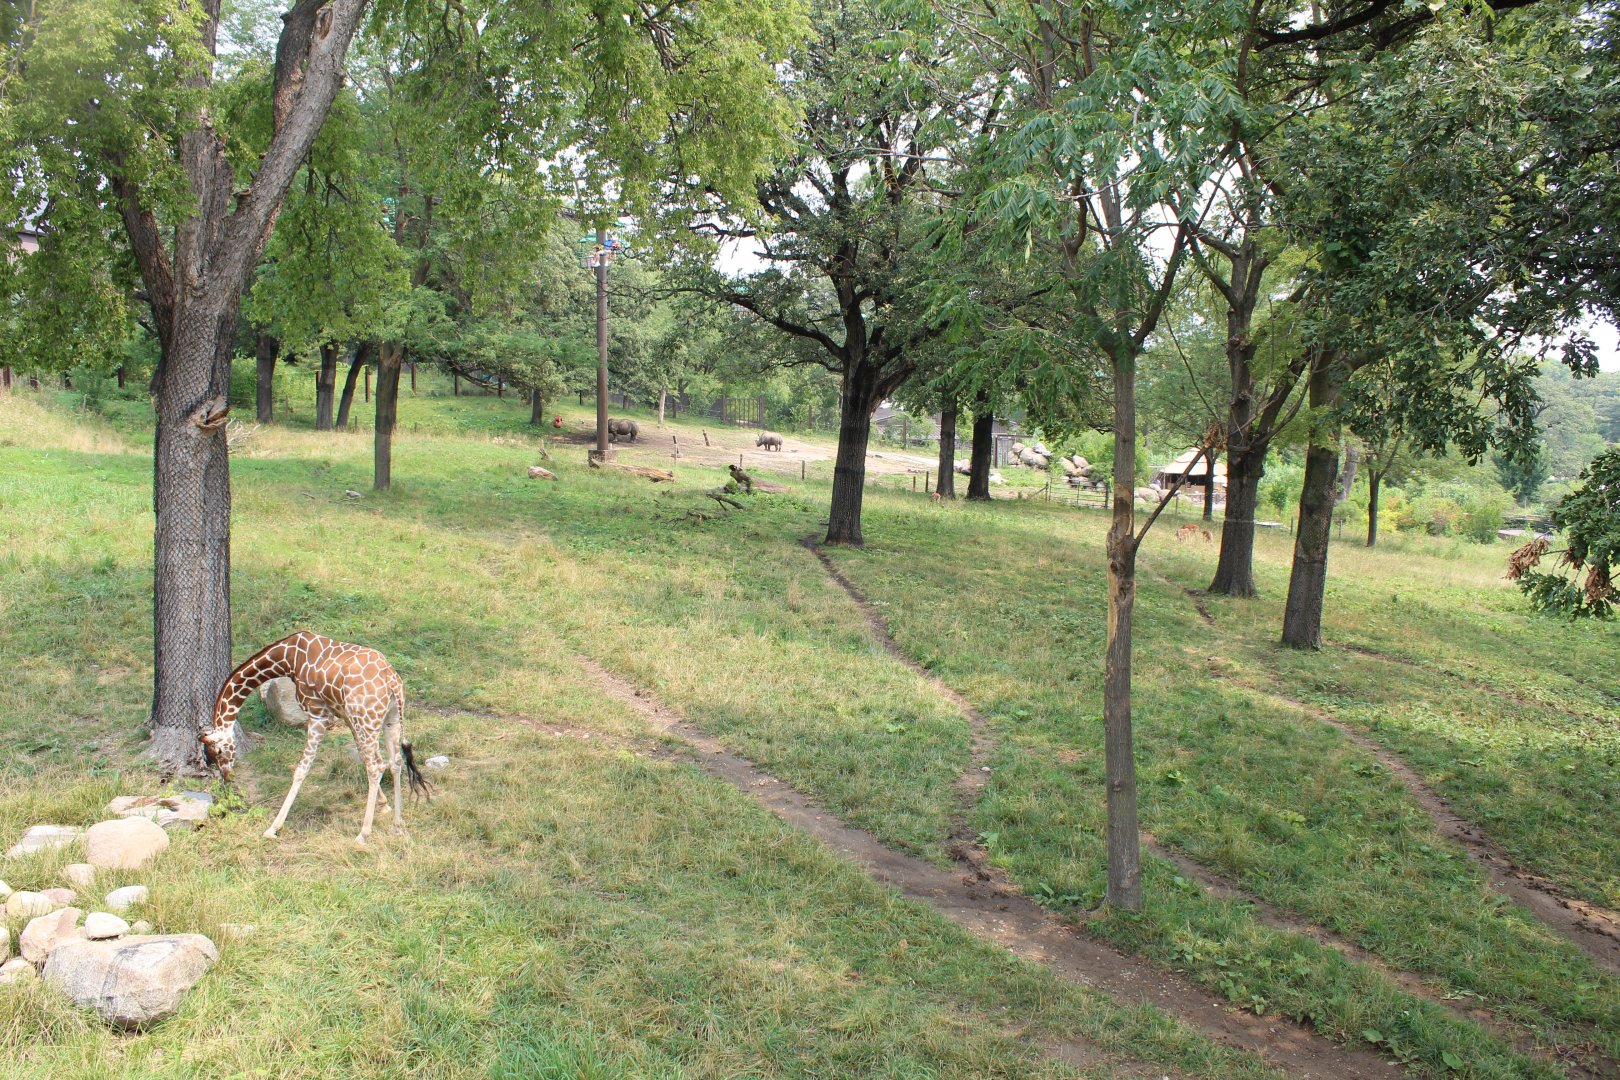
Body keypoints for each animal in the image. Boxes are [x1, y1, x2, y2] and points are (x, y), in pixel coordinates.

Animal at [201, 631, 430, 846]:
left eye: (219, 751)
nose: (227, 776)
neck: (287, 658)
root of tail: (392, 681)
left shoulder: (318, 714)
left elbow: (301, 769)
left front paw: (273, 828)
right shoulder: (344, 714)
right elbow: (361, 753)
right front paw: (384, 806)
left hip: (367, 720)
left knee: (376, 766)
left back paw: (363, 834)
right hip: (390, 719)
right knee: (395, 762)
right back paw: (398, 826)